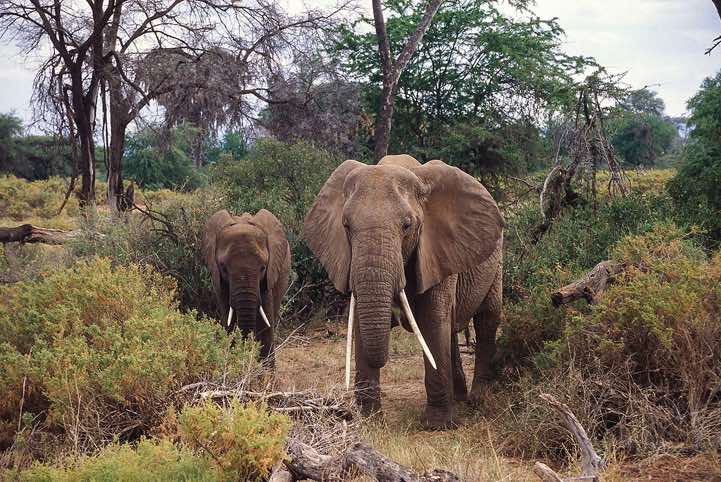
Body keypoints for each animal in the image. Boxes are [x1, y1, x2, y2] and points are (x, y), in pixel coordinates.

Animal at [201, 209, 290, 364]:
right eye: (224, 268)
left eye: (263, 268)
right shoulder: (220, 282)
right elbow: (230, 321)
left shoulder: (269, 276)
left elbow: (265, 323)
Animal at [303, 154, 503, 429]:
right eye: (346, 225)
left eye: (407, 226)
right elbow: (363, 325)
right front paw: (369, 421)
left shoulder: (435, 252)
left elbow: (432, 322)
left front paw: (437, 425)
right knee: (451, 327)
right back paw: (459, 397)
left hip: (497, 261)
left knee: (486, 320)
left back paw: (477, 400)